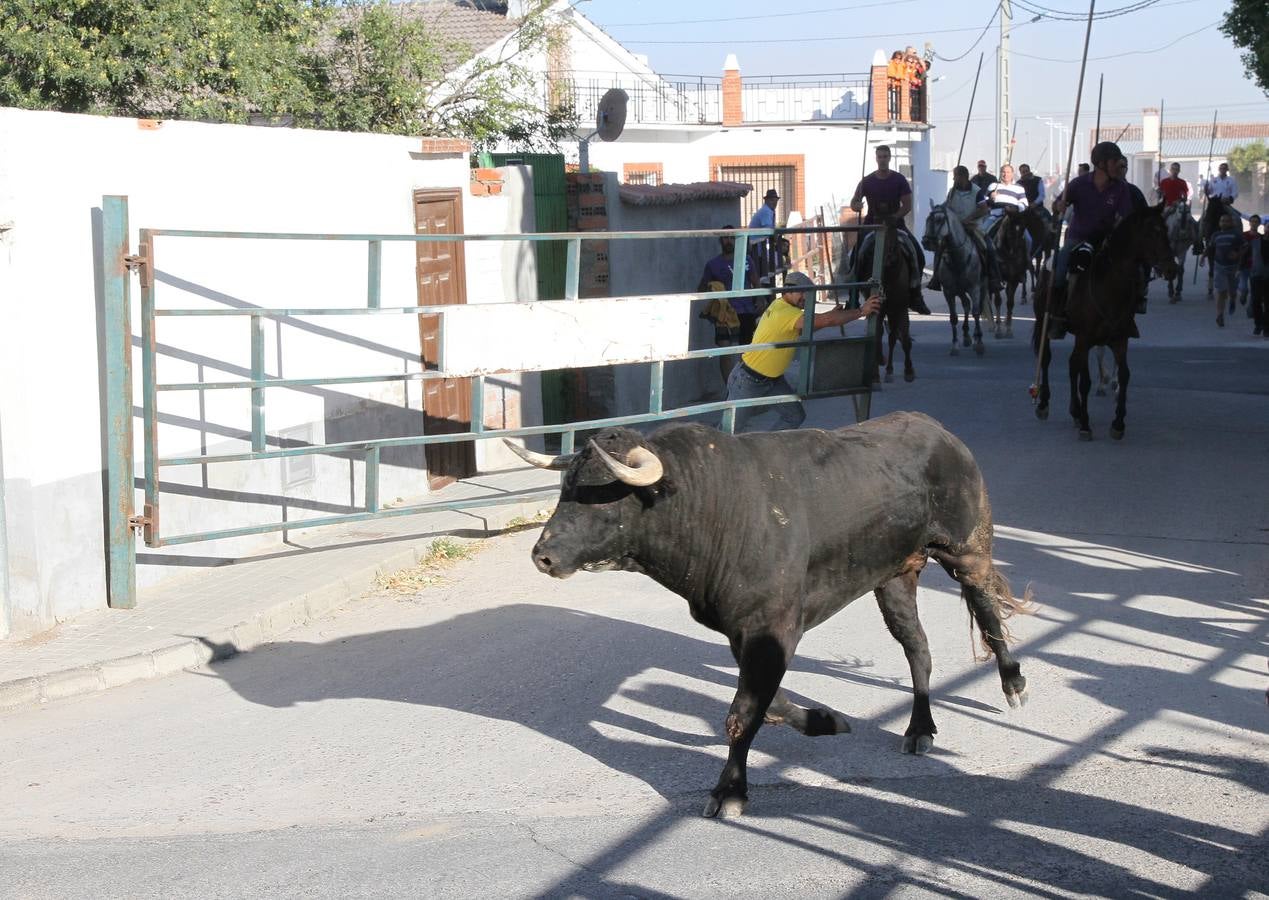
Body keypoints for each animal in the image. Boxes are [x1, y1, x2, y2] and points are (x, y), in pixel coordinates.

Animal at [505, 411, 1030, 817]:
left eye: (601, 495)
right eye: (564, 488)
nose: (542, 556)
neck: (713, 506)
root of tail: (936, 429)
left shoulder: (772, 625)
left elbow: (742, 714)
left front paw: (729, 792)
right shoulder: (745, 631)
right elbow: (766, 702)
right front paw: (822, 720)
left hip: (967, 549)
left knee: (987, 611)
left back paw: (1013, 683)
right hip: (894, 578)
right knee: (917, 648)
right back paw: (920, 729)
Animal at [923, 204, 989, 357]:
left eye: (939, 219)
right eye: (927, 219)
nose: (926, 242)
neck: (958, 258)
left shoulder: (974, 288)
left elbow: (976, 312)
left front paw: (979, 344)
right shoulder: (949, 291)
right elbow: (953, 317)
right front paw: (954, 346)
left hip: (982, 287)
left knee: (976, 307)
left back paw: (976, 337)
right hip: (959, 290)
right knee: (966, 304)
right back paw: (966, 336)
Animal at [1030, 204, 1177, 441]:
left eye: (1165, 230)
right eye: (1152, 233)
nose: (1172, 269)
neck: (1109, 284)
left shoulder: (1119, 339)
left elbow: (1124, 375)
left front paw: (1118, 423)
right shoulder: (1085, 337)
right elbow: (1086, 382)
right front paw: (1086, 426)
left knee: (1073, 364)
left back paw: (1075, 411)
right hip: (1045, 322)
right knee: (1047, 358)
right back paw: (1044, 403)